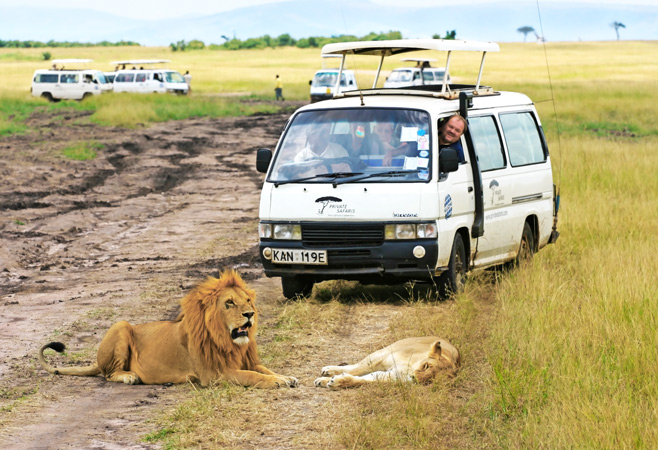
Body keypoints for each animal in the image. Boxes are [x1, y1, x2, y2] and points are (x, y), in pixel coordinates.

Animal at [39, 270, 298, 388]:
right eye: (229, 303)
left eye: (248, 301)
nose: (250, 314)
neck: (227, 341)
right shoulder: (214, 374)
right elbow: (251, 376)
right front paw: (275, 382)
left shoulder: (245, 361)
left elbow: (264, 369)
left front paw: (285, 377)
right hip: (121, 326)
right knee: (108, 373)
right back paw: (129, 376)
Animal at [314, 336, 459, 389]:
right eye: (426, 366)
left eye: (430, 379)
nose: (414, 378)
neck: (409, 368)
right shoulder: (382, 358)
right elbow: (356, 371)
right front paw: (327, 379)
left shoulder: (392, 376)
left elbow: (363, 380)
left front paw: (335, 382)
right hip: (383, 351)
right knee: (355, 366)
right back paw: (328, 370)